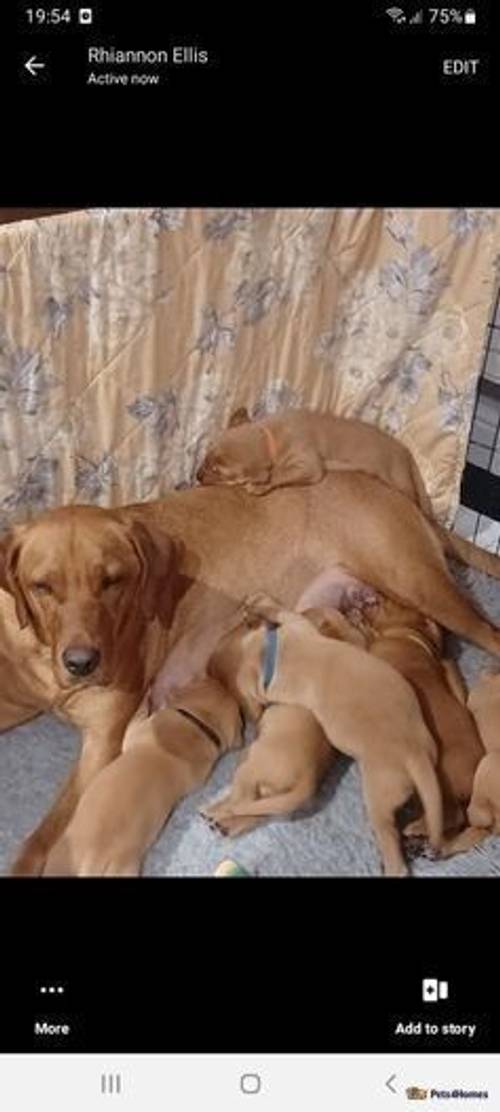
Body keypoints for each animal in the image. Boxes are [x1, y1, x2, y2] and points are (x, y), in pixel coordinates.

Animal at [43, 676, 242, 876]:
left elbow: (137, 717)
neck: (200, 724)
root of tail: (91, 866)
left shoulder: (138, 730)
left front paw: (146, 697)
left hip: (59, 858)